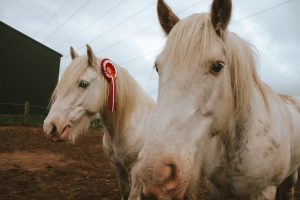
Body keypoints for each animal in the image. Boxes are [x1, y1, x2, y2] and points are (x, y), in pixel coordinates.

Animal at [137, 0, 300, 200]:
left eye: (217, 66)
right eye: (157, 67)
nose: (154, 173)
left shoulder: (264, 191)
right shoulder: (216, 189)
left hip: (292, 175)